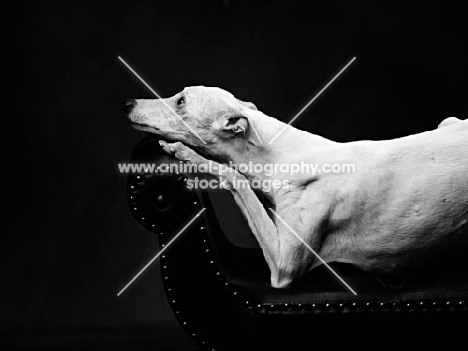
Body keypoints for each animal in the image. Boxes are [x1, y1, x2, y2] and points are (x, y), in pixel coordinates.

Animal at [124, 86, 468, 288]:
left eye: (180, 101)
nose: (127, 102)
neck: (281, 154)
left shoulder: (283, 267)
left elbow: (234, 177)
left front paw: (184, 152)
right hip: (450, 121)